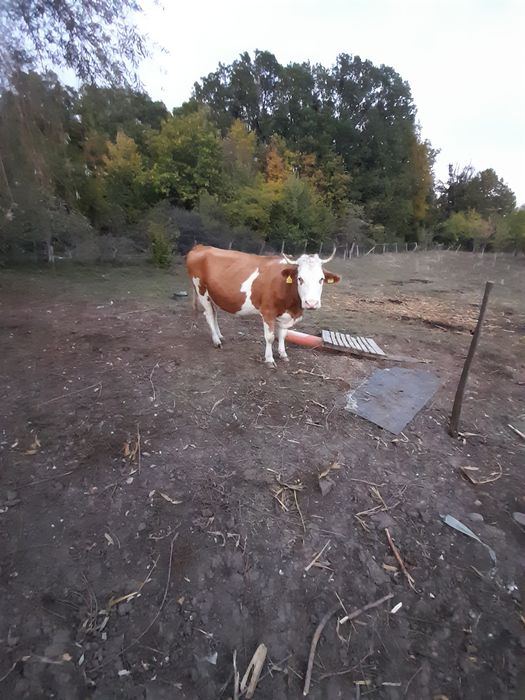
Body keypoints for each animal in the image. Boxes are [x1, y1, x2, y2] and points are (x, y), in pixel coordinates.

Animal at [186, 244, 341, 366]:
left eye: (321, 279)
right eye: (300, 279)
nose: (311, 303)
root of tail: (200, 247)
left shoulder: (285, 315)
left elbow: (283, 334)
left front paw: (283, 354)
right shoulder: (268, 312)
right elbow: (270, 337)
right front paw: (270, 359)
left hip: (214, 294)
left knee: (214, 313)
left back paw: (220, 335)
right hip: (201, 290)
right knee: (209, 315)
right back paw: (216, 341)